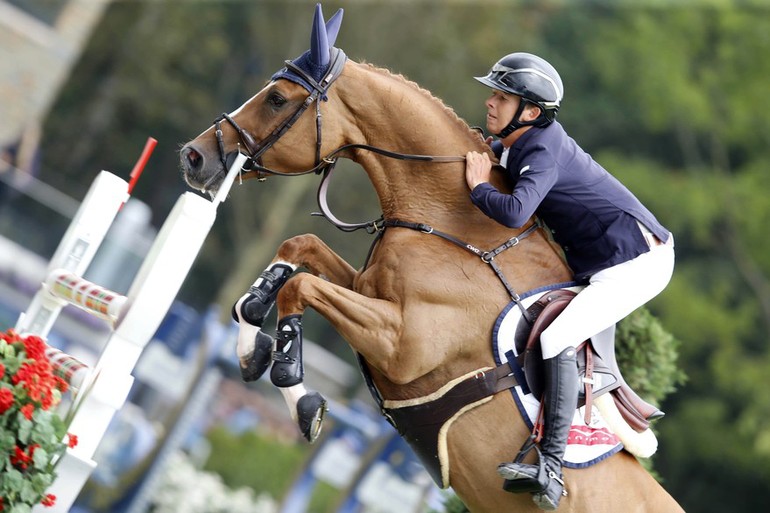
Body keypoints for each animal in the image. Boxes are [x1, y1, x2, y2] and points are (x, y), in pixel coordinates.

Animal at [182, 5, 684, 512]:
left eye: (277, 99)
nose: (193, 156)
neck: (454, 223)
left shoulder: (402, 346)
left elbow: (301, 286)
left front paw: (301, 400)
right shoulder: (366, 289)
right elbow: (297, 249)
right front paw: (250, 346)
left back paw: (541, 476)